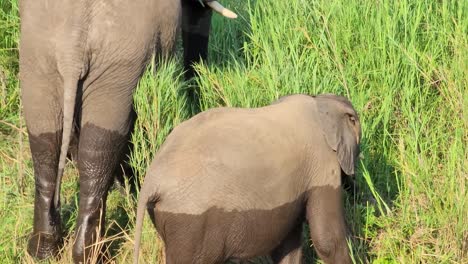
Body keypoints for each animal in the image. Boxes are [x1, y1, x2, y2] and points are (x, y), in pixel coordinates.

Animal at [20, 0, 236, 262]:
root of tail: (72, 51)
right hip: (117, 63)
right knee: (100, 148)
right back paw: (91, 254)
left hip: (39, 56)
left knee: (46, 145)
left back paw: (43, 251)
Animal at [133, 94, 360, 262]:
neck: (320, 101)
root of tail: (152, 181)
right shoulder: (321, 163)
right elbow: (327, 241)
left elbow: (288, 245)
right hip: (191, 221)